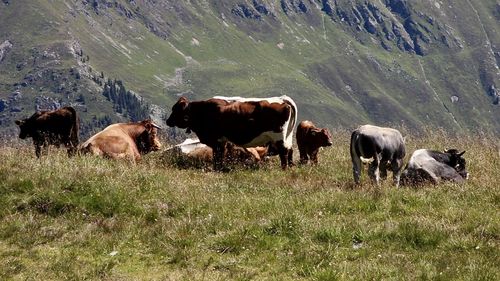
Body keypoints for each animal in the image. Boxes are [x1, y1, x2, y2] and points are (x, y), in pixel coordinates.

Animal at [166, 95, 296, 170]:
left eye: (176, 109)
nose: (168, 121)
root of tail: (283, 100)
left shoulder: (217, 140)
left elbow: (218, 155)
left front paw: (217, 168)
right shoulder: (222, 141)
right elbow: (220, 155)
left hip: (278, 135)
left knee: (283, 151)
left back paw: (284, 168)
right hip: (287, 136)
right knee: (289, 150)